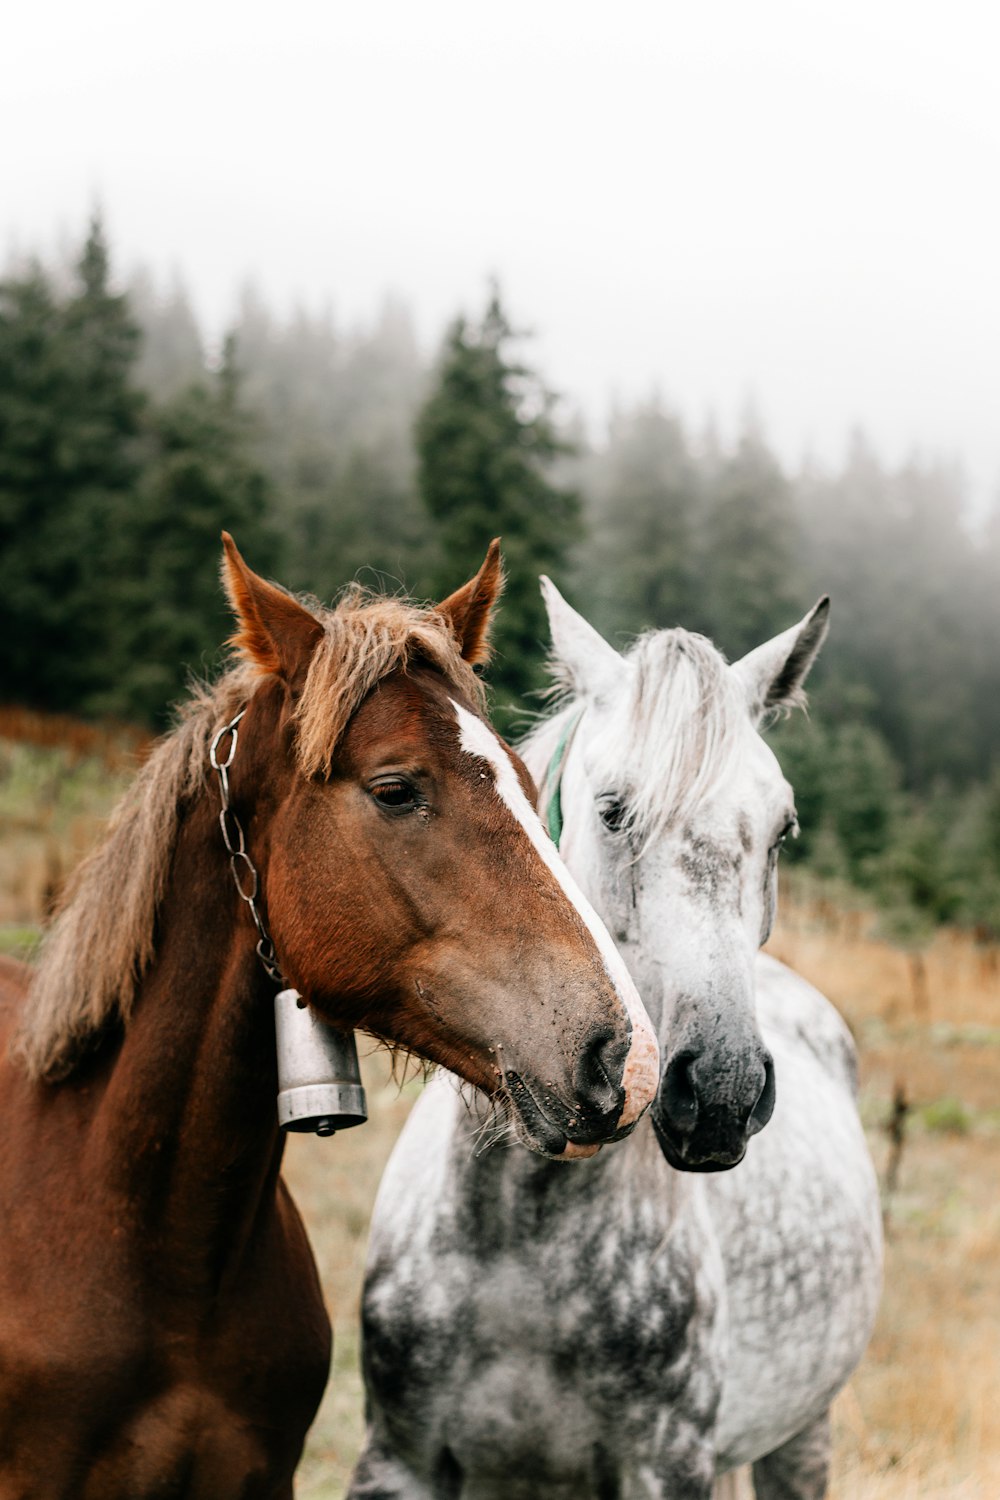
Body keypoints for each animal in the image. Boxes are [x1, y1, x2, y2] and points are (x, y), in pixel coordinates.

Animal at [347, 585, 881, 1500]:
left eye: (782, 829)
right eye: (613, 811)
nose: (723, 1093)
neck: (520, 1240)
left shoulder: (667, 1468)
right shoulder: (400, 1461)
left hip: (802, 1436)